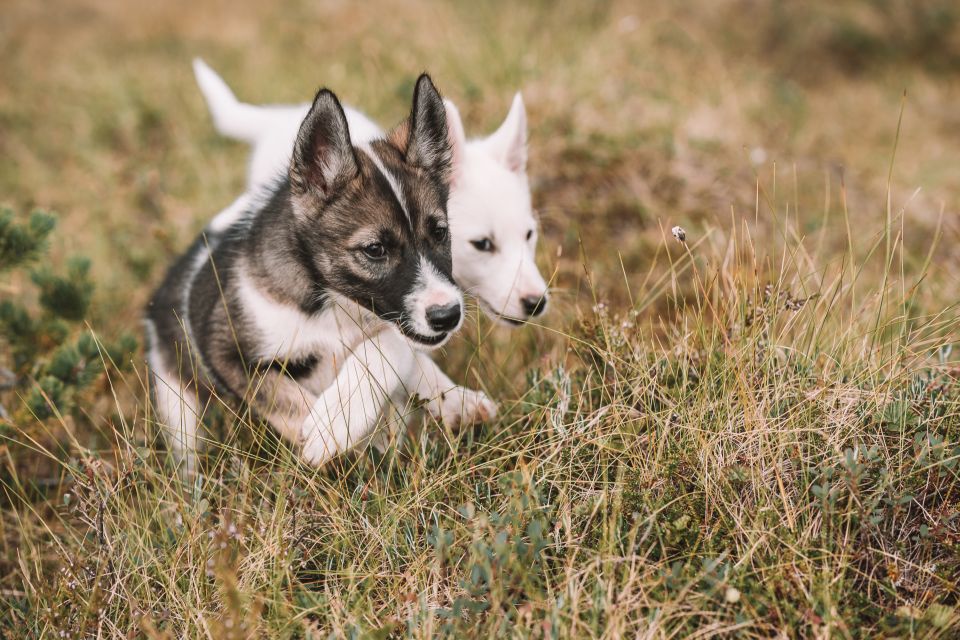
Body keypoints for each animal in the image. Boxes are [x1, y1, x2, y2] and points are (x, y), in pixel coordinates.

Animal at [144, 76, 466, 476]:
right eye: (375, 249)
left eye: (439, 232)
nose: (448, 316)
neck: (334, 306)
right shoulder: (222, 350)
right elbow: (282, 398)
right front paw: (330, 436)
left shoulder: (392, 326)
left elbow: (389, 347)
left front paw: (341, 420)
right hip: (176, 398)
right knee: (186, 448)